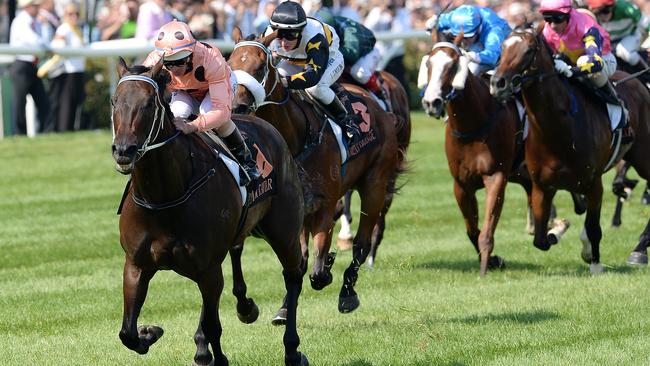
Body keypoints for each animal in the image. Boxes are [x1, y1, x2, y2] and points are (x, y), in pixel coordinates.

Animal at [112, 58, 308, 364]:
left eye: (149, 104)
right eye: (115, 101)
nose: (124, 151)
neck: (165, 196)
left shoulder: (207, 268)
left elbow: (214, 325)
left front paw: (217, 356)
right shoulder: (136, 264)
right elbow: (127, 333)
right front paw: (149, 332)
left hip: (283, 231)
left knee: (293, 276)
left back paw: (291, 348)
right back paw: (240, 312)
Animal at [227, 30, 400, 314]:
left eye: (261, 65)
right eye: (230, 64)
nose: (237, 107)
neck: (297, 137)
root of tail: (378, 107)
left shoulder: (325, 204)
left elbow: (318, 272)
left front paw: (328, 267)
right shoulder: (297, 208)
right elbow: (299, 260)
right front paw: (284, 308)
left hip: (375, 182)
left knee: (362, 243)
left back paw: (347, 292)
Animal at [488, 26, 648, 272]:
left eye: (529, 50)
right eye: (503, 46)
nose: (498, 83)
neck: (559, 129)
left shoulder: (594, 183)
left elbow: (593, 228)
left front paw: (595, 263)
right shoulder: (542, 186)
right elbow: (541, 240)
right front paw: (561, 229)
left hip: (643, 156)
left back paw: (639, 249)